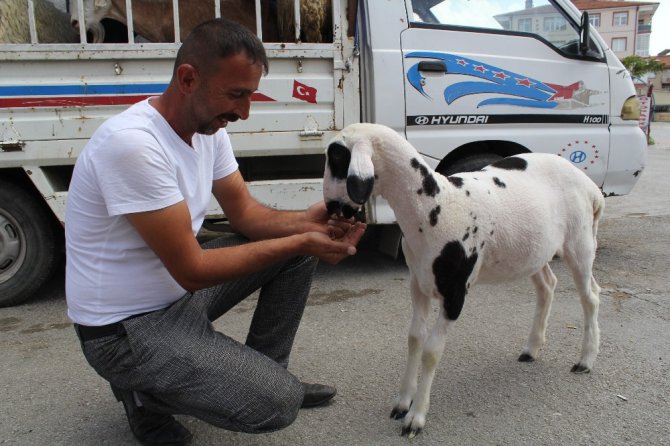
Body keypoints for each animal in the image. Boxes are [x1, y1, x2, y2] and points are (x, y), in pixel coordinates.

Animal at [322, 123, 608, 438]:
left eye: (336, 157)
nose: (330, 207)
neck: (433, 207)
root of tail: (591, 187)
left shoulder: (454, 292)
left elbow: (431, 351)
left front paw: (416, 418)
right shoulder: (418, 283)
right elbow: (414, 339)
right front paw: (402, 403)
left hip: (580, 241)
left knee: (591, 296)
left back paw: (585, 360)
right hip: (534, 249)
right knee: (548, 285)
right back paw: (531, 349)